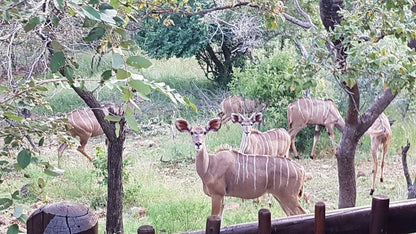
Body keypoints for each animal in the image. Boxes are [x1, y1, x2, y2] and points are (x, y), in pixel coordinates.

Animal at [175, 118, 306, 217]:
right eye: (192, 132)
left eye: (204, 132)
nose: (198, 144)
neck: (209, 166)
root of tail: (300, 169)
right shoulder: (222, 197)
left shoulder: (217, 195)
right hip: (280, 197)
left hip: (289, 197)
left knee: (302, 213)